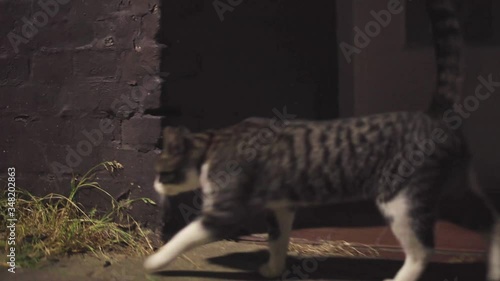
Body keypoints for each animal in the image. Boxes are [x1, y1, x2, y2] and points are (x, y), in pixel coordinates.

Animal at [143, 1, 498, 278]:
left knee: (423, 249)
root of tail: (434, 114)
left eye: (162, 173)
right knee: (491, 222)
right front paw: (273, 269)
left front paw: (155, 261)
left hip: (403, 199)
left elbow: (185, 235)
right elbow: (277, 240)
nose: (155, 184)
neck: (212, 145)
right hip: (454, 189)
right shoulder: (281, 206)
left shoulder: (225, 210)